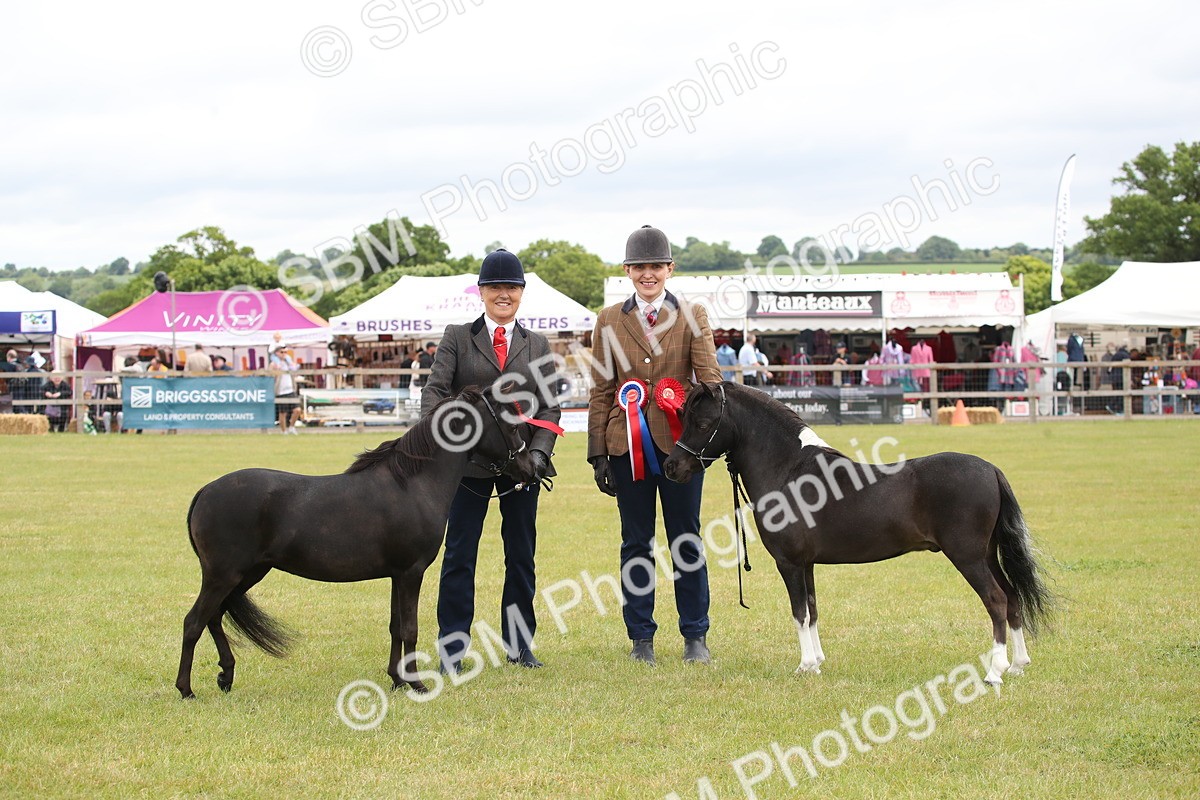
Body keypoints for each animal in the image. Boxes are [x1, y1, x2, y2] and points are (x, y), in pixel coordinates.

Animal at [175, 387, 539, 699]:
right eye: (511, 424)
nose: (530, 468)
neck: (413, 484)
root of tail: (205, 491)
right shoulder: (412, 572)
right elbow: (410, 628)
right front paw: (417, 684)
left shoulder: (397, 575)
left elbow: (396, 627)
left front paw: (397, 680)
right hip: (224, 575)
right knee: (194, 622)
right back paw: (186, 689)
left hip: (245, 574)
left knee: (214, 617)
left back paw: (226, 675)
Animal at [662, 382, 1052, 684]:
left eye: (702, 422)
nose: (671, 467)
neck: (788, 469)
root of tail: (991, 470)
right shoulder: (807, 564)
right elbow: (813, 610)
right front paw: (817, 663)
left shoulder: (789, 563)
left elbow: (799, 612)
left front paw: (804, 666)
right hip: (987, 554)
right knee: (1012, 597)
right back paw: (1018, 665)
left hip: (968, 557)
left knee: (996, 600)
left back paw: (995, 671)